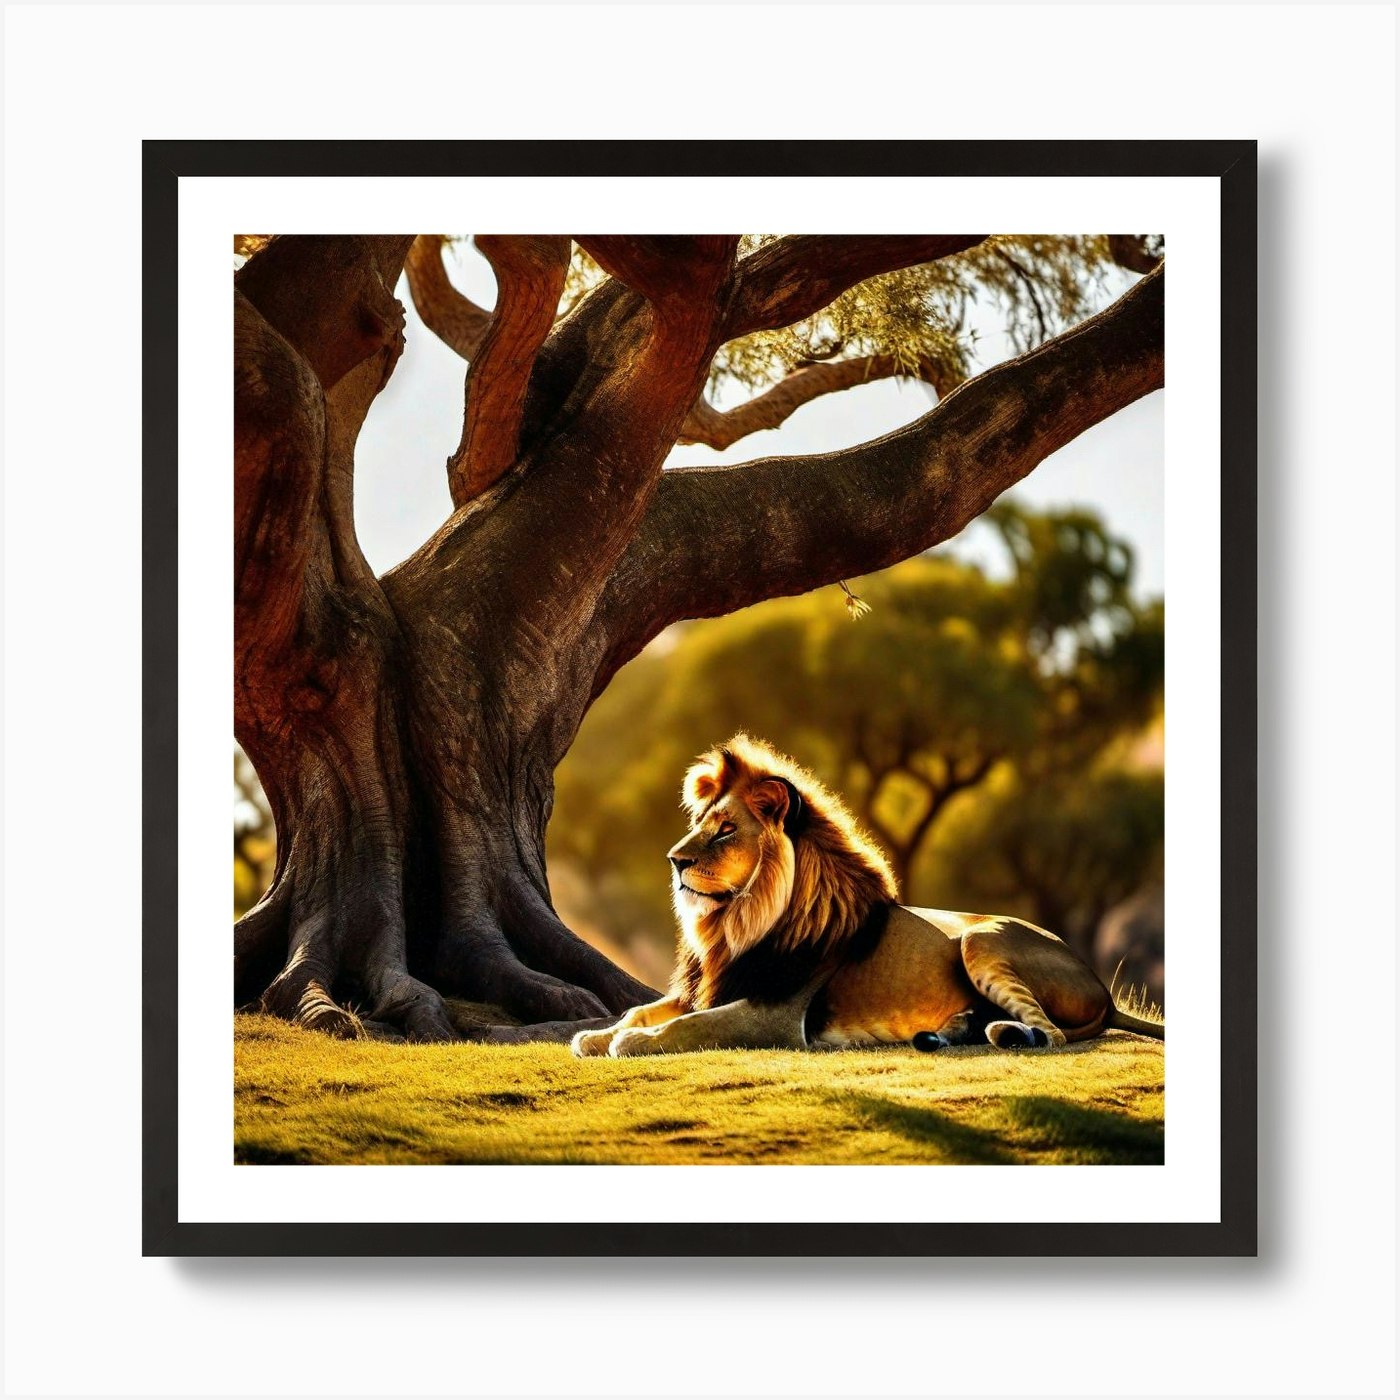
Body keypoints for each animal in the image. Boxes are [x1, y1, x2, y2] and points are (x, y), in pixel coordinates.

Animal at [572, 734, 1164, 1058]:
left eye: (725, 831)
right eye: (699, 824)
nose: (674, 861)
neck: (734, 925)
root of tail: (1100, 986)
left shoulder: (776, 1014)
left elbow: (688, 1025)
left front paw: (629, 1044)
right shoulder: (713, 986)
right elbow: (641, 1008)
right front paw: (596, 1037)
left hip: (981, 938)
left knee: (1054, 1034)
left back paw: (1010, 1034)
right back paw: (949, 1031)